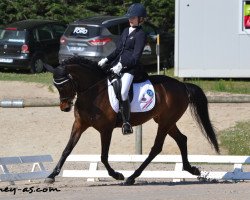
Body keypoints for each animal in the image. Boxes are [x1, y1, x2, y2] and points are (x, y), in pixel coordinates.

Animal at [44, 55, 220, 185]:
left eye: (64, 84)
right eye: (56, 85)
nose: (64, 107)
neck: (93, 92)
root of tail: (182, 85)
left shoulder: (106, 129)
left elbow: (103, 156)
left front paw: (117, 175)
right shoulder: (79, 124)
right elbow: (67, 150)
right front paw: (51, 175)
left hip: (165, 122)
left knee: (157, 148)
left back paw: (131, 177)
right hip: (166, 121)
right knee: (182, 139)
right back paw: (192, 169)